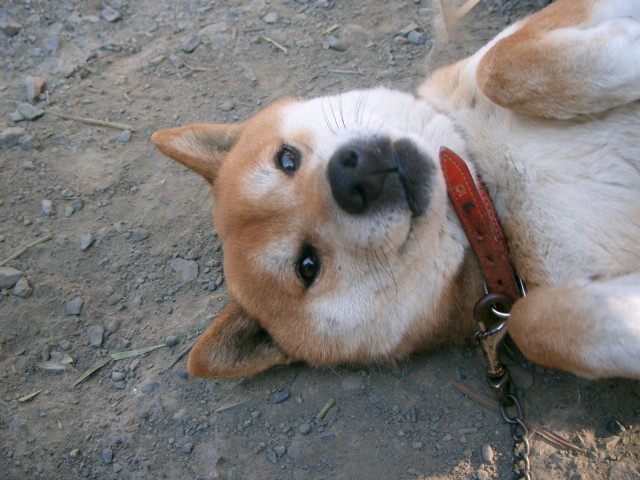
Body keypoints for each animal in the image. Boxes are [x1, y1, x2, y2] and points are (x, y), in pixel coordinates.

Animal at [152, 0, 640, 380]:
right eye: (307, 266)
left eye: (286, 159)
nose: (352, 178)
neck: (485, 191)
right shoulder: (529, 300)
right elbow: (533, 325)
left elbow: (499, 67)